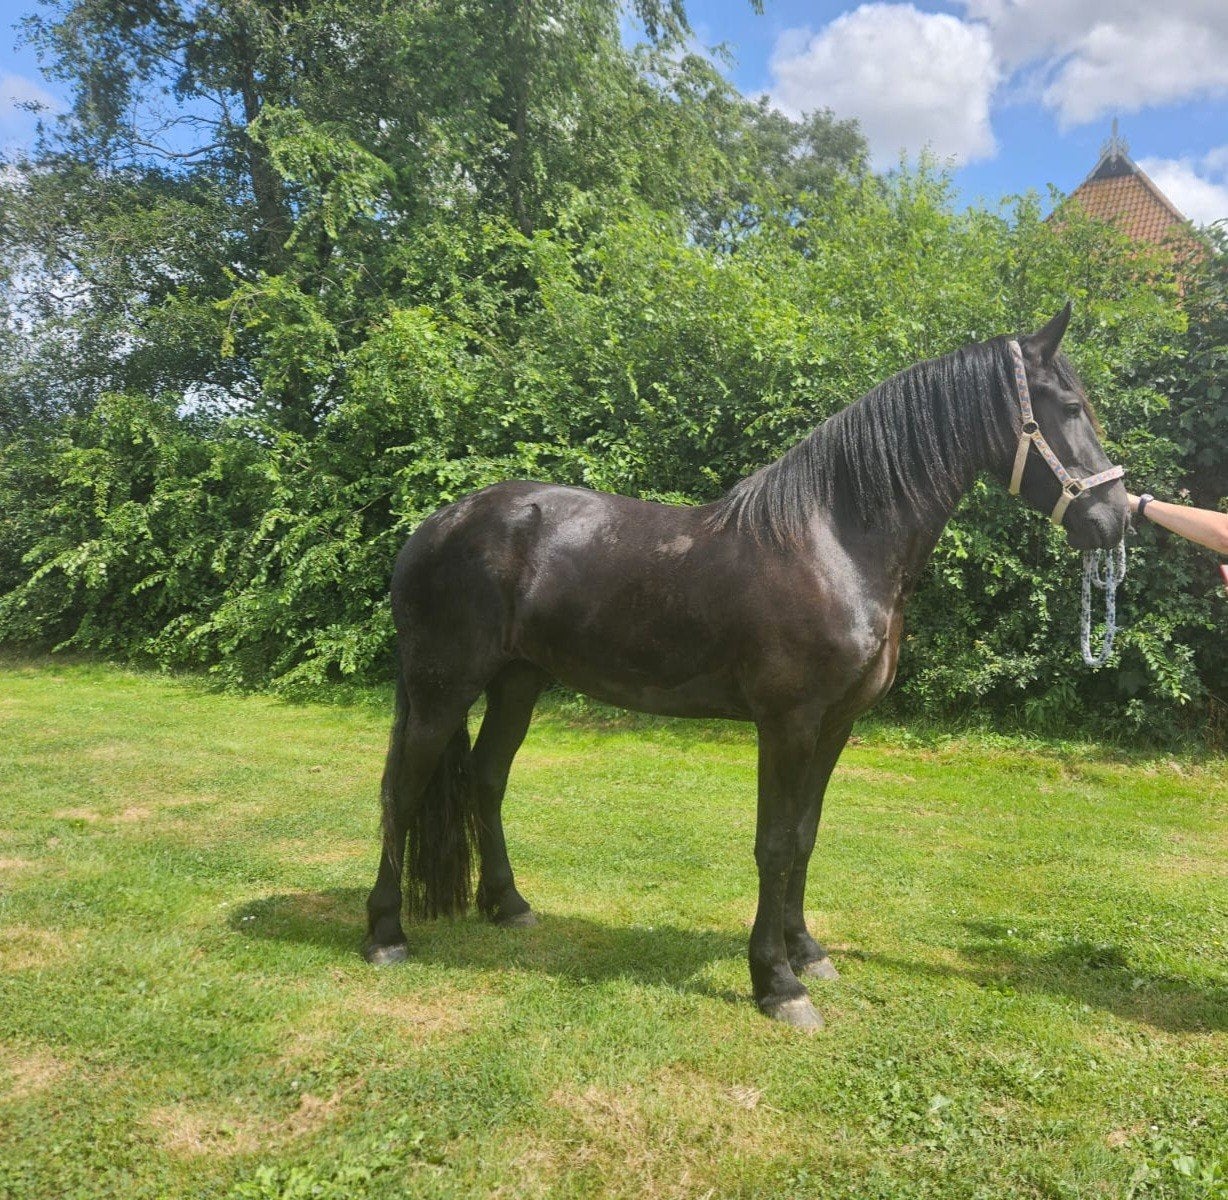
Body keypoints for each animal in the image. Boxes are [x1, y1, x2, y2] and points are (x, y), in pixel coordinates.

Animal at [362, 302, 1128, 1028]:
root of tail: (434, 526)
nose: (1115, 519)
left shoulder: (835, 725)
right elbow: (775, 843)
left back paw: (509, 905)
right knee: (402, 789)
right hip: (442, 686)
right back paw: (385, 935)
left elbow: (807, 837)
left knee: (486, 779)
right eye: (1067, 406)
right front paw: (777, 983)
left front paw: (807, 952)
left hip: (517, 682)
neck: (835, 543)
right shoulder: (787, 723)